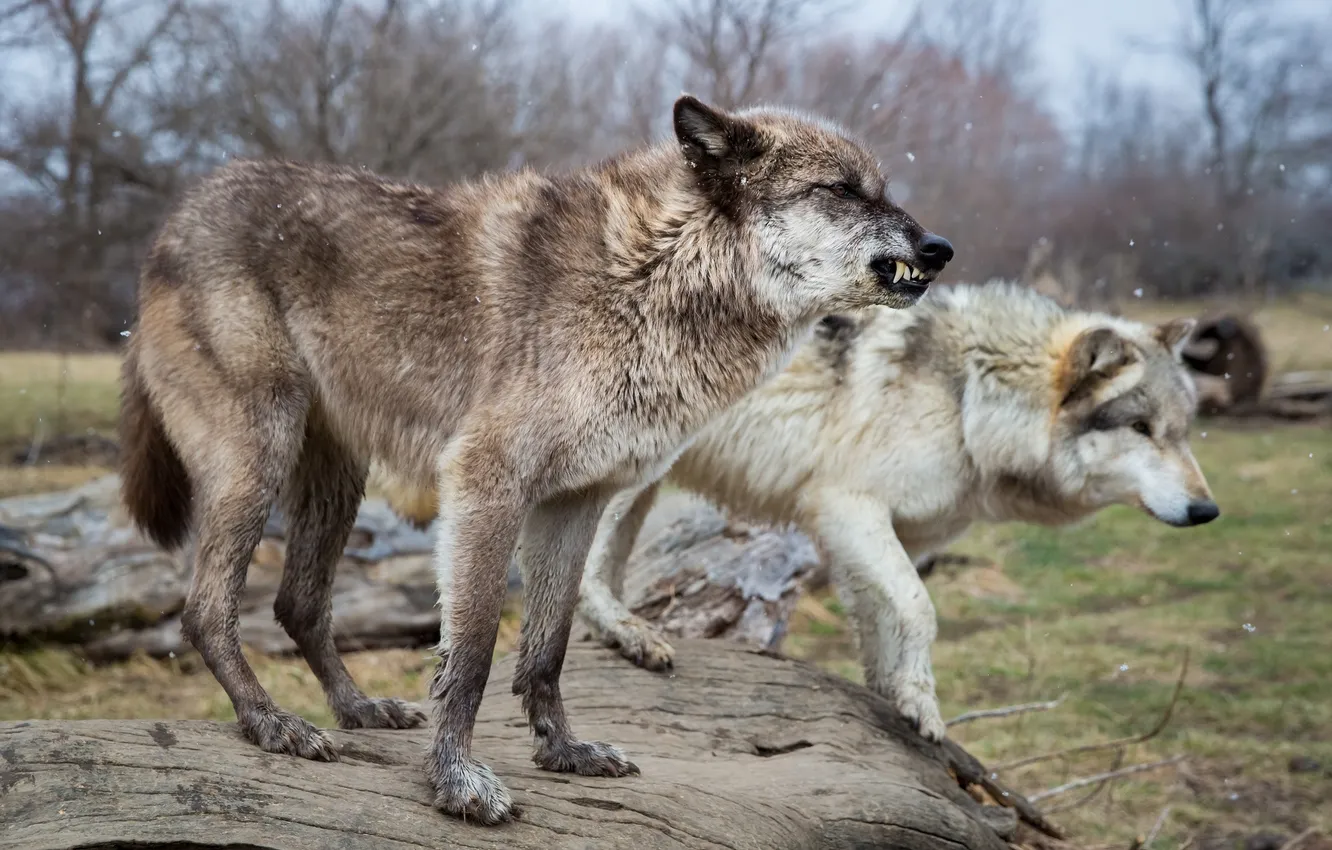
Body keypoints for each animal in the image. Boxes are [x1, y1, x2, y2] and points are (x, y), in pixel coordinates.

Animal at [118, 95, 954, 824]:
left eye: (883, 189)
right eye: (841, 190)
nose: (939, 248)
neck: (654, 273)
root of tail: (173, 220)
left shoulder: (576, 502)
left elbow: (546, 648)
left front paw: (564, 752)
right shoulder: (486, 485)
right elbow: (473, 654)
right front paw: (457, 781)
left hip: (335, 478)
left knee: (297, 604)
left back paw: (357, 709)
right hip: (258, 459)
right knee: (206, 611)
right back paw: (270, 723)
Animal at [383, 281, 1219, 744]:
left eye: (1185, 430)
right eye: (1142, 428)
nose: (1208, 509)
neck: (971, 395)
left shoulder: (877, 534)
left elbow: (884, 623)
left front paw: (897, 704)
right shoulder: (848, 506)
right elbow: (921, 610)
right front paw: (924, 708)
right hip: (624, 472)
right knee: (577, 574)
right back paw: (633, 636)